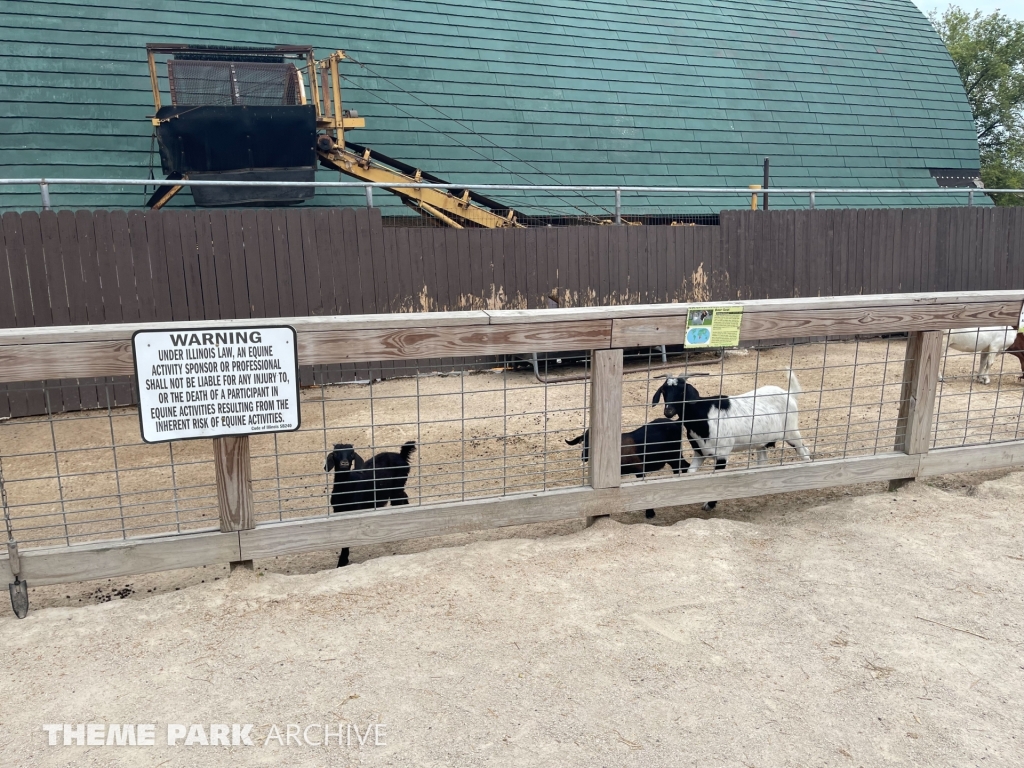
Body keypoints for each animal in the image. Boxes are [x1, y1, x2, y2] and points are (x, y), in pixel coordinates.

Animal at [651, 370, 811, 512]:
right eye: (664, 391)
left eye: (682, 391)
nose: (668, 411)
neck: (703, 416)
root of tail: (789, 394)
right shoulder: (700, 452)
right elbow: (690, 473)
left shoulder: (722, 453)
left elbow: (717, 479)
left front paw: (709, 505)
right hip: (761, 441)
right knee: (763, 462)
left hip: (791, 432)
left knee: (806, 454)